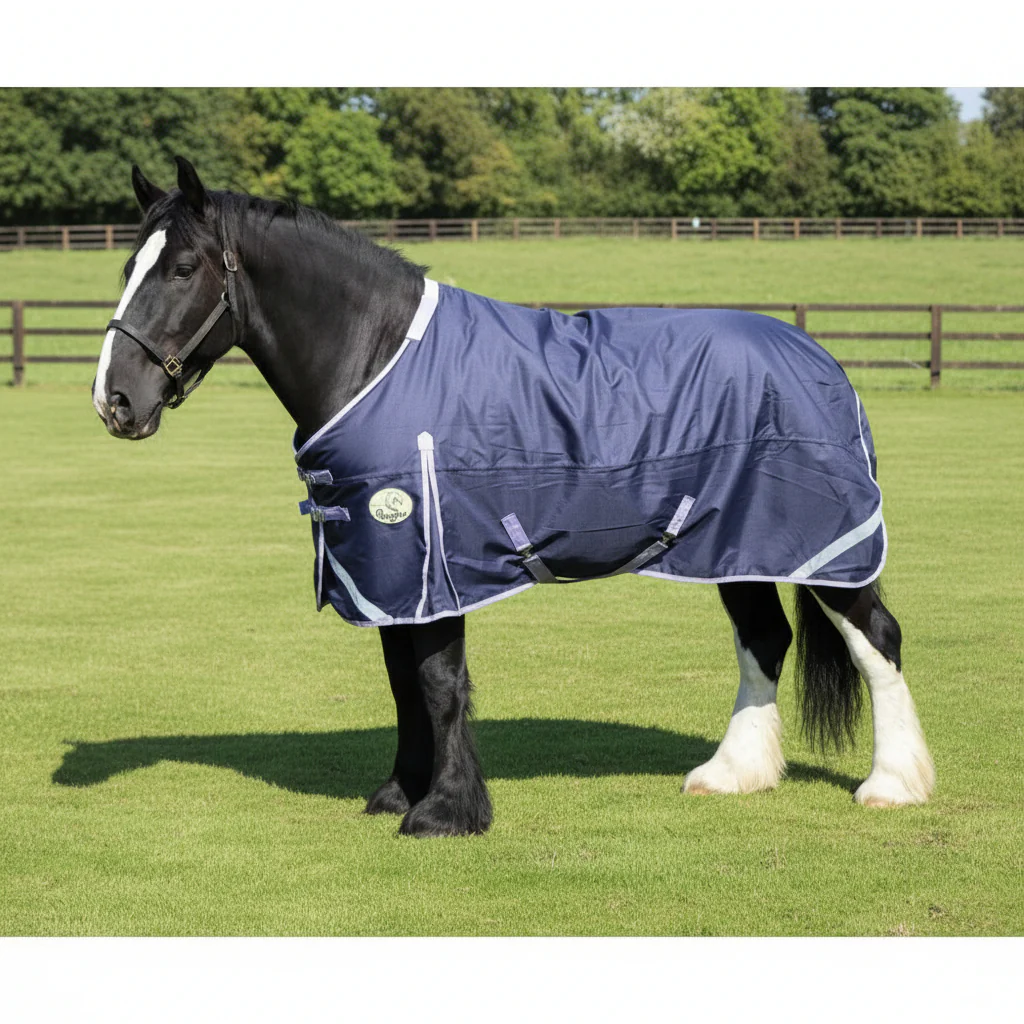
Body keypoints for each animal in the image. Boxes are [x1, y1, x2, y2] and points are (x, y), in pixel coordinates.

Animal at [92, 157, 935, 837]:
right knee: (764, 640)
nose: (115, 402)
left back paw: (892, 785)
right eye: (129, 264)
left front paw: (445, 811)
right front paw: (401, 793)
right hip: (739, 549)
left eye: (182, 268)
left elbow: (437, 683)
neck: (378, 361)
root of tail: (818, 355)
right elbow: (402, 682)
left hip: (823, 548)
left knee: (877, 639)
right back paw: (732, 775)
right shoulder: (388, 572)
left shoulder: (431, 564)